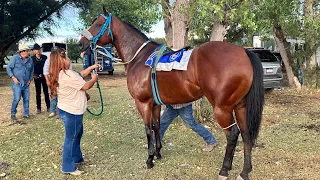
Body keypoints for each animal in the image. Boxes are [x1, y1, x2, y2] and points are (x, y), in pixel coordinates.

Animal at [79, 7, 264, 180]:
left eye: (98, 24)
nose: (81, 43)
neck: (139, 57)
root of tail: (243, 52)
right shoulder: (154, 104)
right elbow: (156, 126)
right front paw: (158, 153)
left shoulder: (142, 103)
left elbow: (148, 130)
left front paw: (149, 159)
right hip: (240, 106)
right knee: (246, 135)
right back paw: (245, 171)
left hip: (222, 109)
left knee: (232, 135)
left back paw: (224, 170)